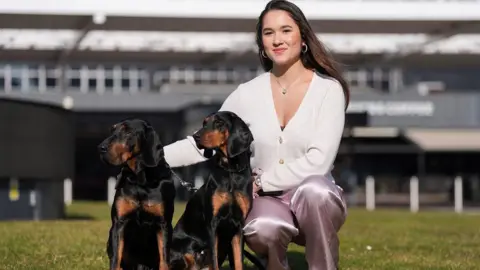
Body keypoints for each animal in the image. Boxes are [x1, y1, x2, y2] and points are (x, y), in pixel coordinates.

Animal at [99, 118, 176, 270]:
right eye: (112, 130)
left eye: (128, 131)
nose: (101, 148)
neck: (140, 180)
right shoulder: (119, 223)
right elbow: (116, 259)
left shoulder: (163, 224)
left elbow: (164, 260)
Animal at [171, 110, 256, 268]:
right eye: (204, 123)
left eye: (219, 123)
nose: (196, 136)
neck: (230, 171)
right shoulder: (212, 225)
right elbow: (214, 261)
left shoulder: (239, 226)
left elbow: (238, 261)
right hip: (186, 245)